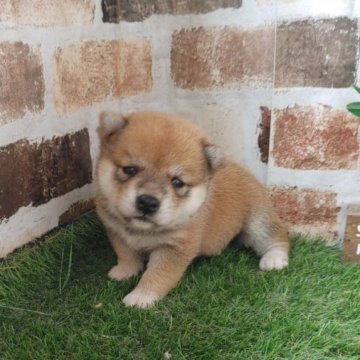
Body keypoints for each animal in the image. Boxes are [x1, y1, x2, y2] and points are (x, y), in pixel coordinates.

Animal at [95, 111, 290, 308]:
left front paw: (141, 297)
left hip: (258, 220)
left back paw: (274, 259)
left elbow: (157, 275)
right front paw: (125, 272)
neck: (142, 231)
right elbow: (126, 255)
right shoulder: (117, 233)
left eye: (177, 182)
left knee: (276, 237)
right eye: (129, 169)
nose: (148, 202)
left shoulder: (174, 249)